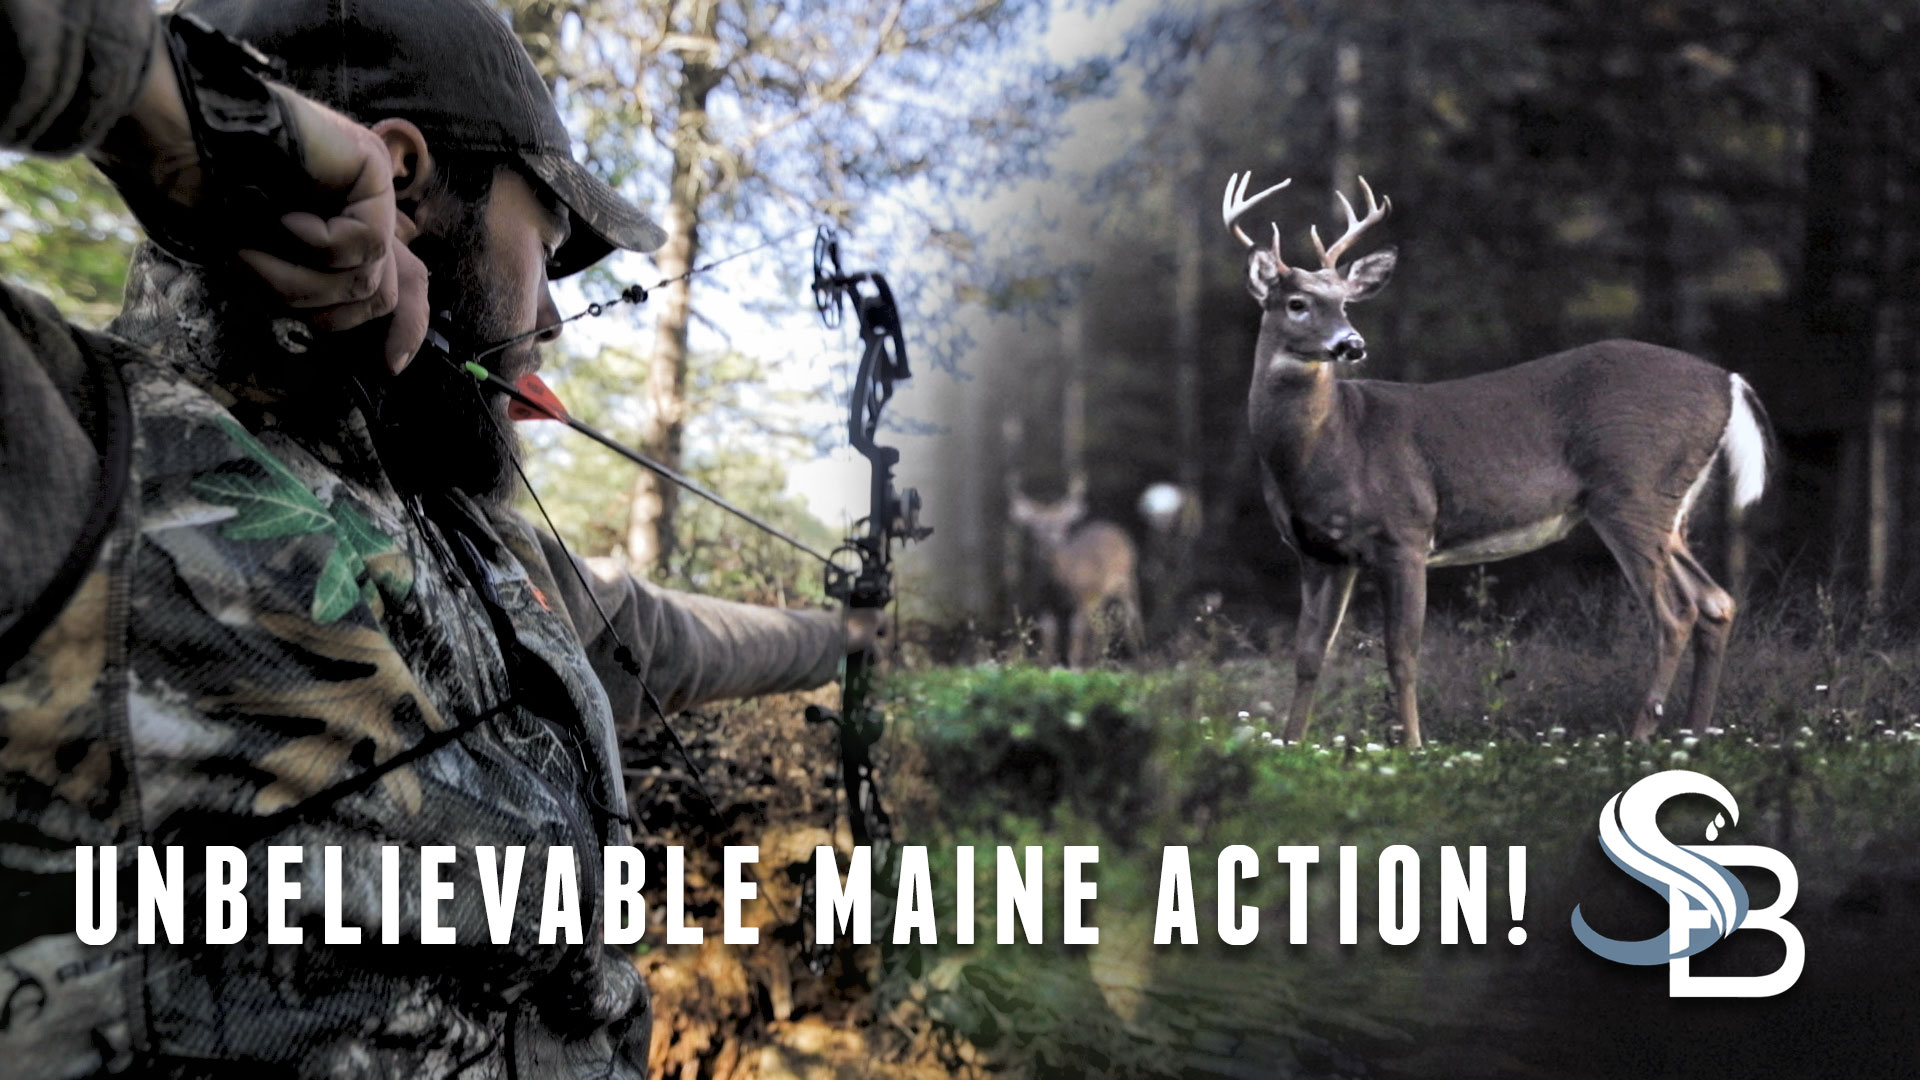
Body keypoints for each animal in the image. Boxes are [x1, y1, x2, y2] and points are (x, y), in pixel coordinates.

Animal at [1008, 478, 1146, 667]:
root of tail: (1115, 528)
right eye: (1034, 527)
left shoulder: (1082, 599)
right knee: (1100, 627)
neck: (1058, 584)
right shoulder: (1043, 603)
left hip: (1128, 580)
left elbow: (1075, 638)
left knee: (1132, 619)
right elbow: (1049, 639)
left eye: (1063, 526)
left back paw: (1140, 659)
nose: (1050, 543)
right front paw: (1047, 666)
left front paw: (1074, 666)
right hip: (1100, 597)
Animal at [1221, 171, 1769, 749]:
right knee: (1716, 603)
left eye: (1346, 303)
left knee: (1676, 613)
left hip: (1633, 492)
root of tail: (1729, 381)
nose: (1351, 343)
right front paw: (1289, 743)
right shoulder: (1320, 553)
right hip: (1669, 508)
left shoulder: (1405, 533)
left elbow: (1403, 655)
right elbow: (1308, 656)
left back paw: (1639, 736)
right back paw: (1695, 735)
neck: (1330, 444)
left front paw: (1413, 747)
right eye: (1297, 303)